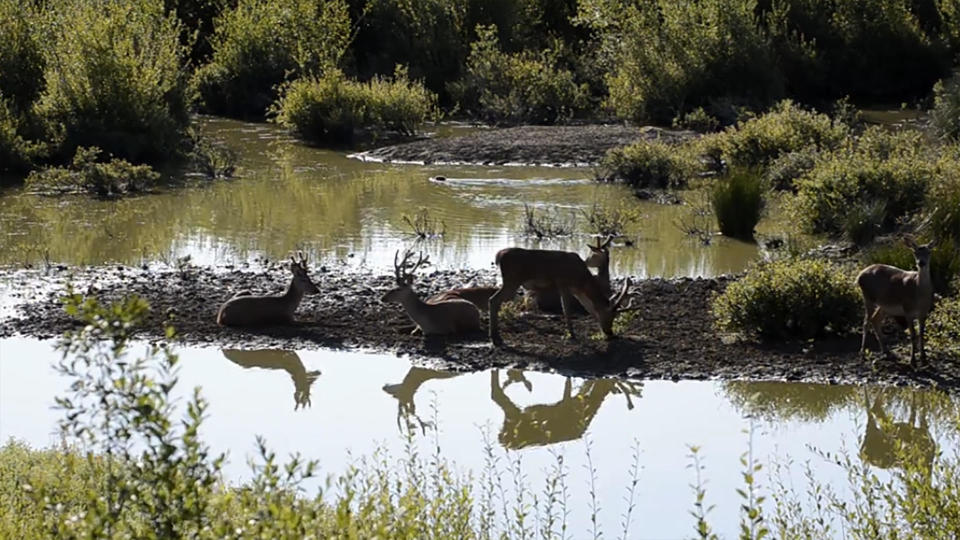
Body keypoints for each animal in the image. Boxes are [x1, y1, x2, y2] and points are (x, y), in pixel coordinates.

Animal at [488, 246, 636, 346]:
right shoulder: (564, 284)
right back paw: (496, 338)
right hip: (512, 280)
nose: (610, 332)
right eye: (610, 315)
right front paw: (572, 335)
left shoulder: (576, 291)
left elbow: (587, 308)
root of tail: (498, 255)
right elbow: (567, 310)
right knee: (493, 300)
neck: (582, 281)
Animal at [860, 236, 932, 368]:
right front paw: (913, 361)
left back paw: (886, 351)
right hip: (868, 297)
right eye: (915, 252)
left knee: (875, 320)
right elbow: (913, 335)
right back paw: (862, 354)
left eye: (929, 252)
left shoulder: (924, 312)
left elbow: (921, 334)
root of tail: (858, 276)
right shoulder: (907, 310)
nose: (921, 263)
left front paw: (924, 359)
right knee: (866, 322)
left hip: (884, 305)